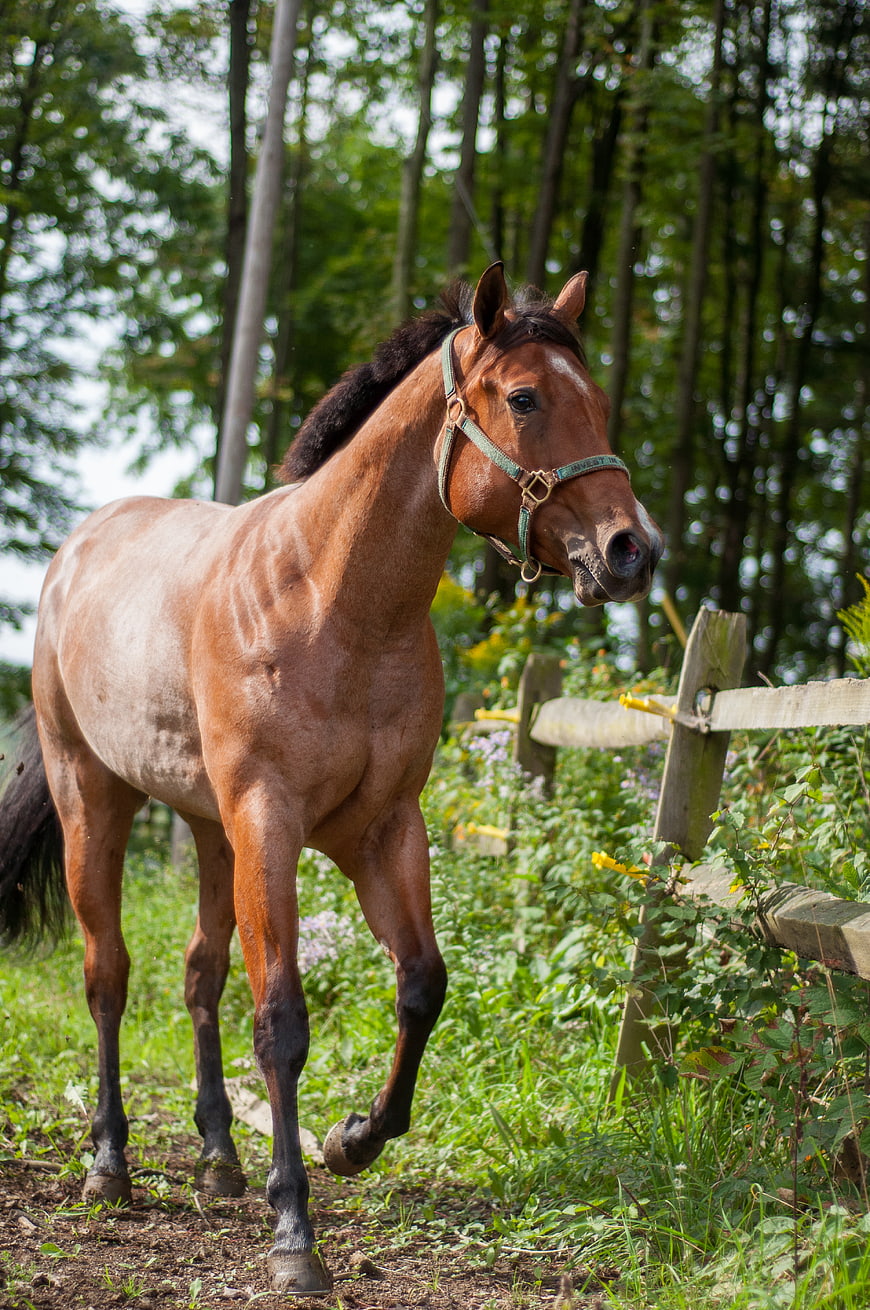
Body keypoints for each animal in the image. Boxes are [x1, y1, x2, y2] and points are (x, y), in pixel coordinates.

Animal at [0, 263, 662, 1295]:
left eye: (595, 398)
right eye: (524, 398)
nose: (633, 549)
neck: (328, 599)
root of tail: (78, 551)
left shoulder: (384, 829)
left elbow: (422, 986)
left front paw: (354, 1139)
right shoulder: (270, 822)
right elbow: (281, 1021)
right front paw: (294, 1235)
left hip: (209, 831)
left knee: (199, 974)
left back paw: (219, 1158)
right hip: (94, 801)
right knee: (108, 975)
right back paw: (110, 1163)